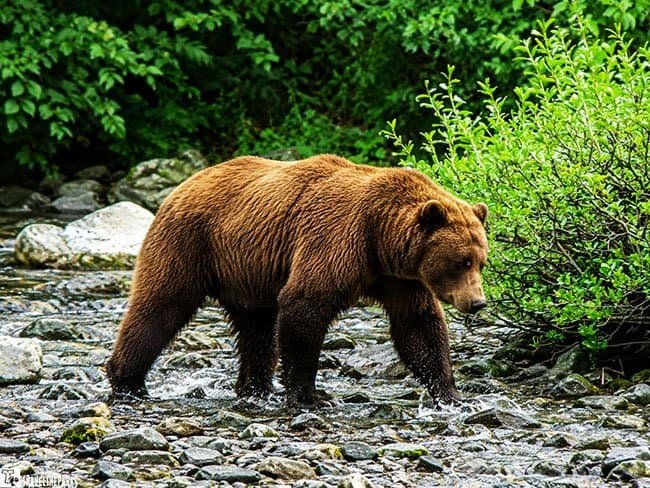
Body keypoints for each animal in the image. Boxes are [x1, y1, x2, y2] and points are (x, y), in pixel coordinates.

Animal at [106, 154, 488, 404]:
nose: (477, 302)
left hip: (246, 271)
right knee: (160, 306)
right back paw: (128, 382)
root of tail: (182, 185)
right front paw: (309, 394)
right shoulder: (336, 239)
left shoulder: (399, 278)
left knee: (256, 328)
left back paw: (256, 388)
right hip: (190, 243)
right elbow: (305, 305)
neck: (380, 237)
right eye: (461, 261)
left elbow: (418, 326)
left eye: (481, 261)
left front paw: (450, 393)